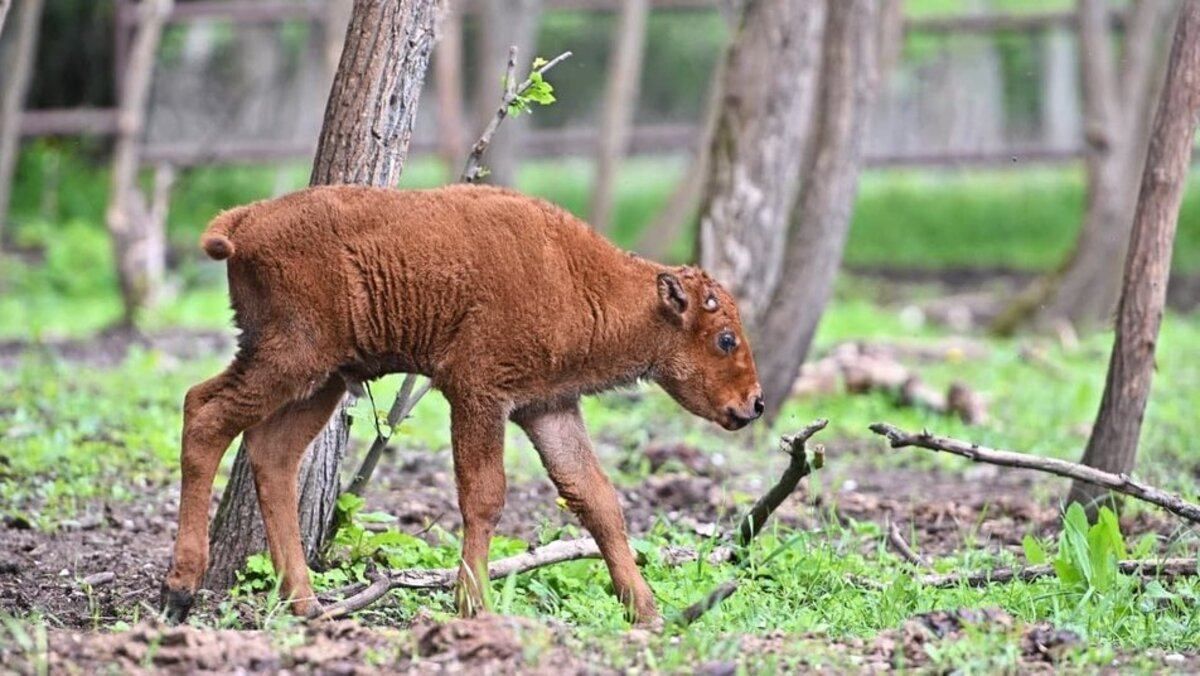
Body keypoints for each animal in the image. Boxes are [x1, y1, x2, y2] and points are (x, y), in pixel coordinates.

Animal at [162, 183, 758, 624]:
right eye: (725, 338)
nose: (754, 405)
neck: (580, 280)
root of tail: (244, 220)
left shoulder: (549, 406)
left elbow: (596, 499)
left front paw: (648, 611)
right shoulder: (478, 393)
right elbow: (485, 495)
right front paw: (474, 605)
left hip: (323, 380)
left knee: (272, 453)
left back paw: (304, 603)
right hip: (289, 358)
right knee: (205, 414)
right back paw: (182, 589)